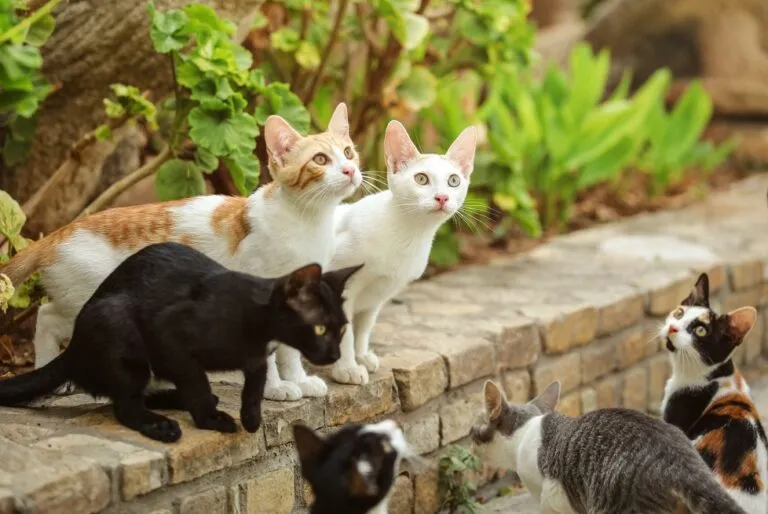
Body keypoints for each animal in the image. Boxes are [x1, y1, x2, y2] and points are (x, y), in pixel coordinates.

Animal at [0, 103, 364, 400]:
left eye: (348, 152)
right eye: (320, 160)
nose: (350, 170)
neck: (308, 222)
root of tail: (61, 231)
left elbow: (290, 349)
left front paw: (299, 380)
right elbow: (270, 351)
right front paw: (275, 388)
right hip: (87, 297)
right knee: (47, 317)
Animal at [0, 241, 364, 440]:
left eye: (342, 329)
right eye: (320, 329)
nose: (334, 354)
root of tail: (73, 348)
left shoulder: (256, 358)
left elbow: (255, 381)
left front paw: (250, 416)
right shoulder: (168, 337)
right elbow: (196, 379)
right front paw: (210, 419)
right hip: (117, 325)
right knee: (126, 405)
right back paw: (161, 426)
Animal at [328, 121, 474, 384]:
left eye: (454, 181)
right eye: (421, 178)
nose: (442, 197)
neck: (409, 234)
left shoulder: (378, 293)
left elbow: (363, 327)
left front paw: (361, 355)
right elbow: (345, 331)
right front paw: (347, 368)